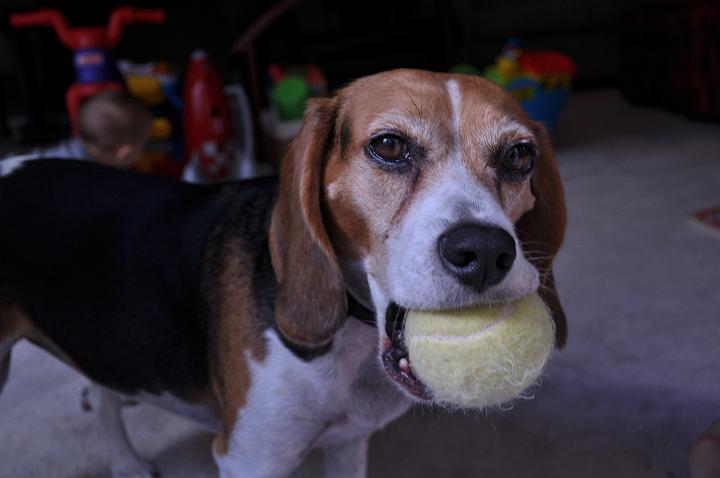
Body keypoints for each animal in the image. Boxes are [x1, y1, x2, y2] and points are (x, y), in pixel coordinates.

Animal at [0, 69, 564, 476]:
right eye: (389, 146)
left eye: (520, 155)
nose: (486, 252)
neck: (351, 339)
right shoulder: (250, 459)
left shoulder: (348, 444)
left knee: (101, 391)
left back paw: (124, 462)